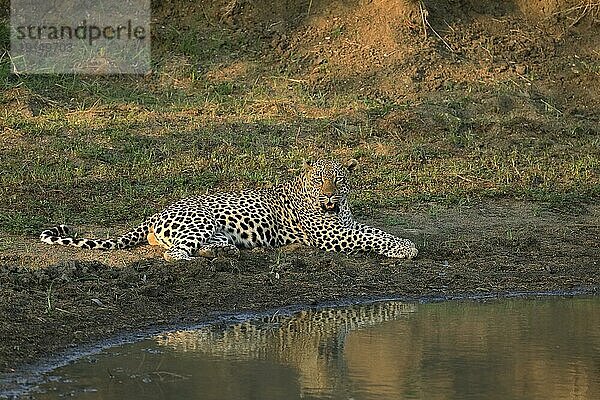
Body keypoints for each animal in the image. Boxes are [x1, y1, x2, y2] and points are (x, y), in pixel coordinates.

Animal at [39, 158, 420, 260]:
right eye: (318, 180)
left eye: (338, 180)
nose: (329, 198)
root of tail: (153, 213)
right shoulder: (333, 235)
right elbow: (373, 236)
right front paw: (406, 249)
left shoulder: (345, 223)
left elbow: (373, 229)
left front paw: (406, 245)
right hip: (199, 221)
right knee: (174, 253)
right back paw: (199, 259)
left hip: (210, 230)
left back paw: (226, 251)